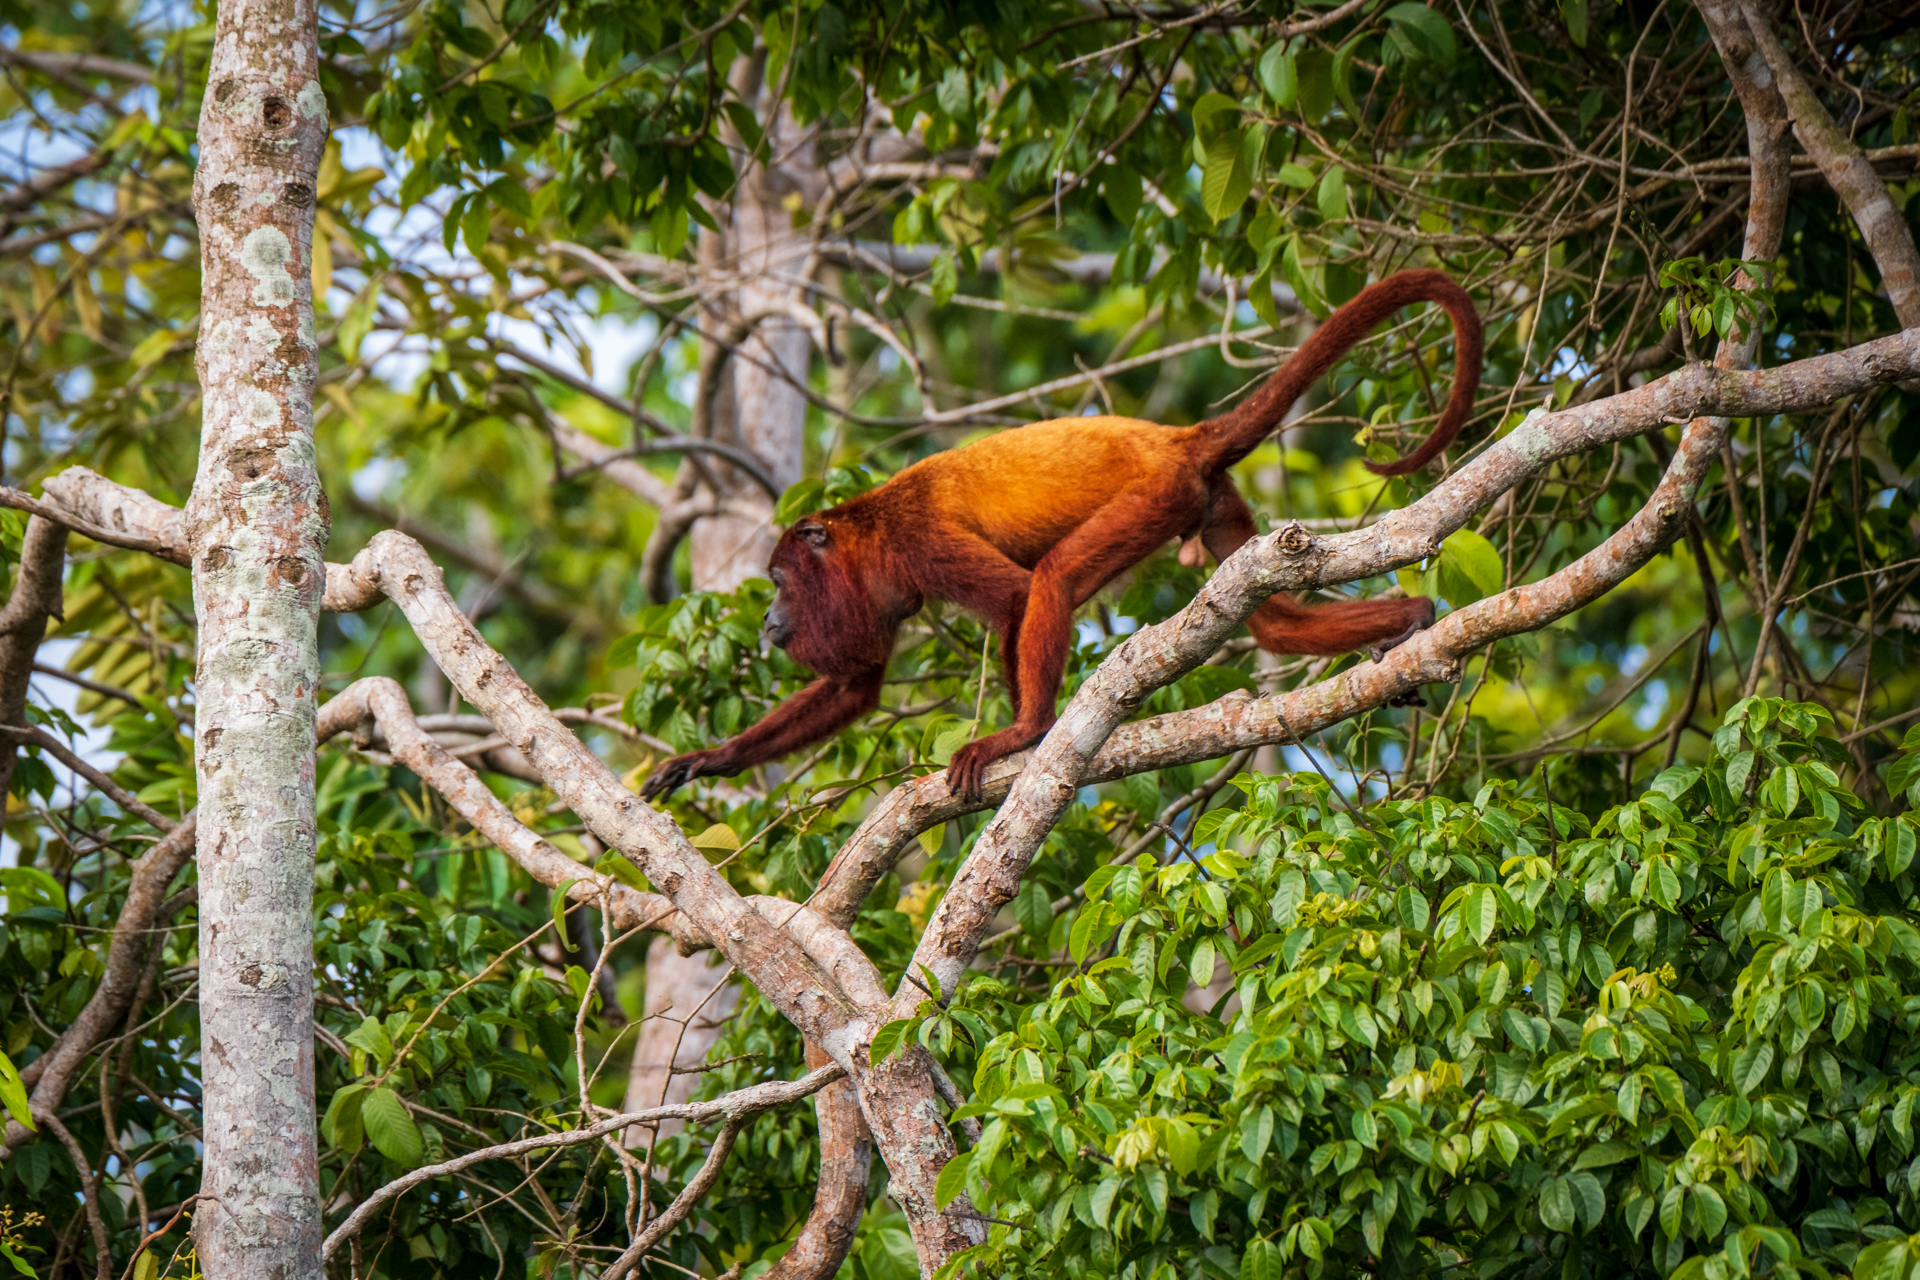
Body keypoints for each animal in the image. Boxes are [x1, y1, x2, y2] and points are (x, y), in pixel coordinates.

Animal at [645, 270, 1482, 802]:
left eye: (778, 582)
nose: (766, 618)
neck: (861, 536)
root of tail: (1178, 438)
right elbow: (857, 684)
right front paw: (711, 759)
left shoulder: (911, 540)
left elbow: (1015, 597)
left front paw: (1018, 734)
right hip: (1212, 504)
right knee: (1274, 622)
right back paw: (1408, 619)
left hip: (1153, 496)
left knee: (1052, 577)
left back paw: (1032, 728)